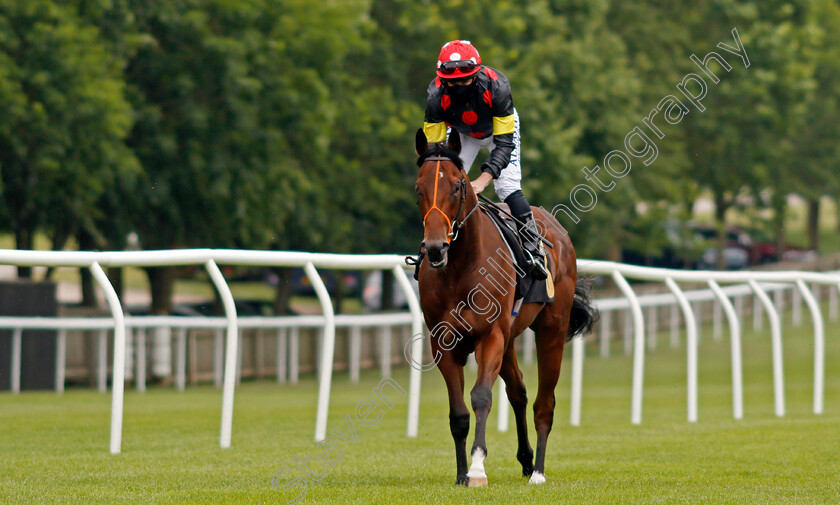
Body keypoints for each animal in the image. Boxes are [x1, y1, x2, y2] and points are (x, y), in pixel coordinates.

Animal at [414, 129, 596, 484]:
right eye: (419, 188)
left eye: (457, 186)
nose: (435, 247)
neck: (460, 268)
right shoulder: (443, 344)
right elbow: (458, 413)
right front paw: (461, 474)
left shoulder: (490, 336)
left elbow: (481, 396)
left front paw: (477, 468)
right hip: (511, 336)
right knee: (519, 392)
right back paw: (526, 460)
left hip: (551, 329)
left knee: (544, 403)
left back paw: (538, 471)